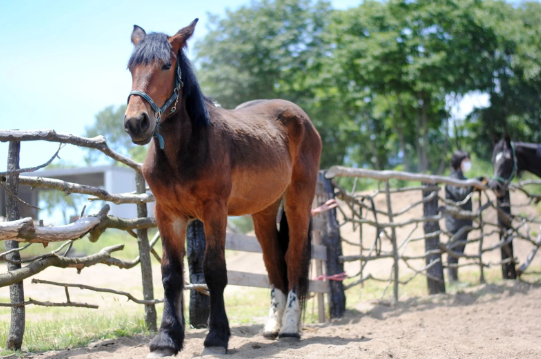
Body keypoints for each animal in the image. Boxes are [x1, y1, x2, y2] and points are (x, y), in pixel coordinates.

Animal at [122, 19, 320, 358]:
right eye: (131, 67)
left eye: (166, 65)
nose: (137, 122)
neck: (185, 149)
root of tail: (300, 117)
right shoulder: (168, 214)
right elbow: (171, 275)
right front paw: (166, 339)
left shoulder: (214, 211)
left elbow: (214, 270)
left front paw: (216, 337)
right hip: (263, 211)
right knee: (272, 260)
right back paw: (273, 325)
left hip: (298, 200)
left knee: (294, 257)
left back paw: (291, 327)